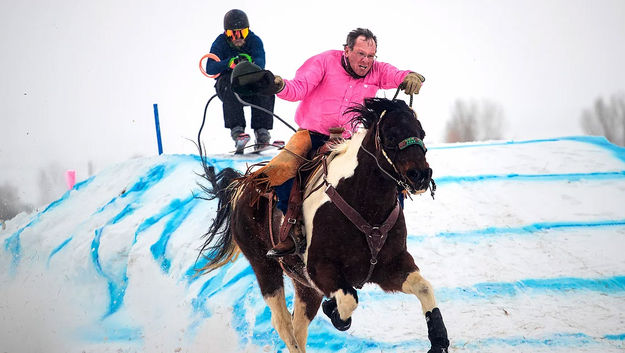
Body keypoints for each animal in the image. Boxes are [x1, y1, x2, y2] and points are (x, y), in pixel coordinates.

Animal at [199, 97, 448, 352]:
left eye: (421, 133)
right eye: (389, 136)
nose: (420, 175)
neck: (364, 206)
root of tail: (243, 184)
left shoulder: (391, 266)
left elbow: (423, 287)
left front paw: (439, 340)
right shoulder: (320, 270)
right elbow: (348, 299)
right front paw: (334, 311)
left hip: (304, 286)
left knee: (298, 327)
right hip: (264, 266)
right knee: (284, 324)